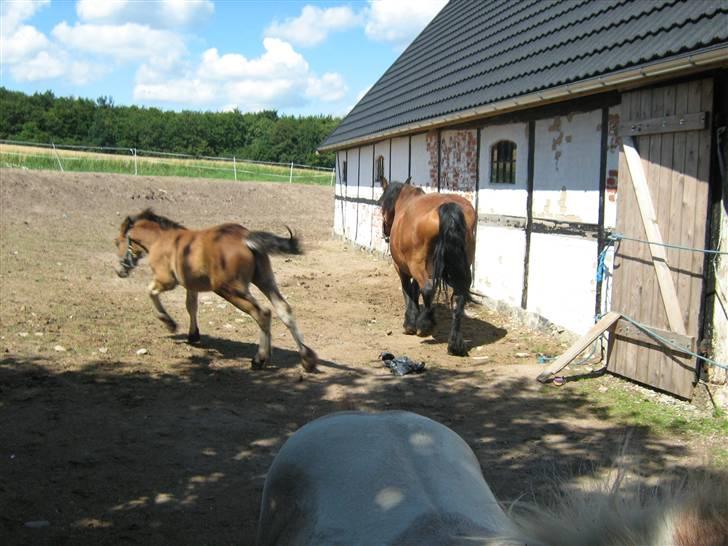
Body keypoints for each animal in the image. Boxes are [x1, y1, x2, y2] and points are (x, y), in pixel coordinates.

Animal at [113, 208, 316, 370]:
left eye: (116, 242)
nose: (119, 271)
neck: (161, 239)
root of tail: (245, 238)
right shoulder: (191, 285)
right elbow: (191, 306)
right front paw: (193, 335)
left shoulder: (166, 280)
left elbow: (151, 291)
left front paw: (169, 322)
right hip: (264, 280)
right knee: (284, 308)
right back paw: (307, 358)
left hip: (229, 289)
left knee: (263, 313)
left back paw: (259, 359)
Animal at [382, 176, 478, 354]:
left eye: (382, 204)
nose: (385, 231)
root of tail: (447, 206)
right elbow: (414, 289)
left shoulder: (401, 268)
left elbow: (408, 291)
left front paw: (410, 323)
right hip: (462, 268)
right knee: (459, 297)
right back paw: (455, 344)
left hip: (418, 266)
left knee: (427, 288)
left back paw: (425, 325)